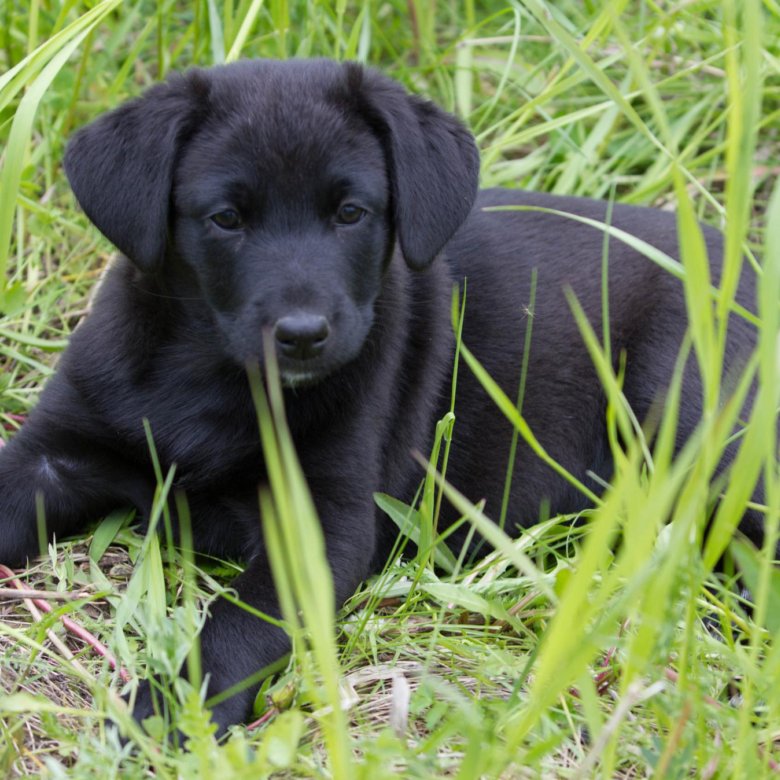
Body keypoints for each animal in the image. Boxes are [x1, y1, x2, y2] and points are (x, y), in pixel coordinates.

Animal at [0, 59, 756, 732]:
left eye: (350, 212)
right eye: (225, 218)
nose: (304, 335)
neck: (210, 370)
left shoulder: (320, 524)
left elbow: (240, 622)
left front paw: (170, 709)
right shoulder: (54, 451)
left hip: (688, 416)